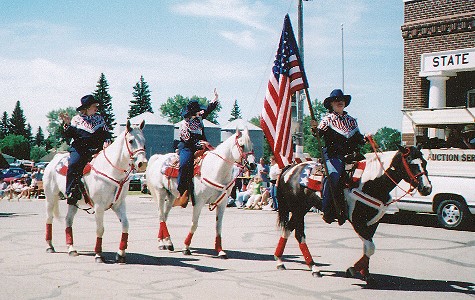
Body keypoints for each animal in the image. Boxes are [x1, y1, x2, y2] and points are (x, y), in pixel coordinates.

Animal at [43, 119, 147, 262]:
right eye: (131, 141)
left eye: (144, 141)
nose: (143, 163)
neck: (111, 171)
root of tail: (54, 161)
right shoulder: (99, 206)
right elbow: (100, 229)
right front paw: (98, 254)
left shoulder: (119, 204)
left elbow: (125, 225)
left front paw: (120, 254)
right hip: (50, 198)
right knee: (49, 218)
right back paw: (49, 246)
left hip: (73, 202)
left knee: (68, 221)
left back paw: (71, 248)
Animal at [146, 128, 255, 258]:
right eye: (242, 145)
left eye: (252, 145)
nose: (253, 165)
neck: (215, 169)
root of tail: (158, 158)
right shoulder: (199, 202)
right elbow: (194, 224)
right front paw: (186, 248)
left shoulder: (222, 203)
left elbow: (218, 227)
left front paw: (220, 250)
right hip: (160, 193)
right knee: (161, 215)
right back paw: (166, 243)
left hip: (171, 196)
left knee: (164, 216)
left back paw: (165, 242)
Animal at [274, 145, 434, 284]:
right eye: (411, 163)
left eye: (424, 162)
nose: (427, 188)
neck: (371, 182)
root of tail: (290, 168)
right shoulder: (358, 222)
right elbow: (370, 247)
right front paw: (352, 270)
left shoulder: (372, 223)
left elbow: (367, 248)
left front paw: (366, 275)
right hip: (298, 209)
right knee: (299, 234)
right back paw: (313, 267)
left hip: (302, 208)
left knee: (289, 229)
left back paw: (283, 261)